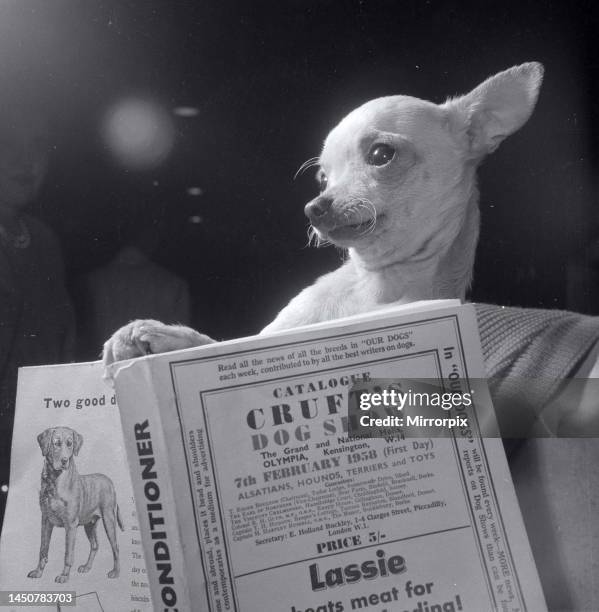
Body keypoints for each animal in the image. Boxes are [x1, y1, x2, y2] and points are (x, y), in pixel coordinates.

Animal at [103, 62, 544, 368]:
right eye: (322, 178)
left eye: (381, 155)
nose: (313, 208)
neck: (370, 286)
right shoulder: (267, 336)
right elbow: (221, 345)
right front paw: (162, 335)